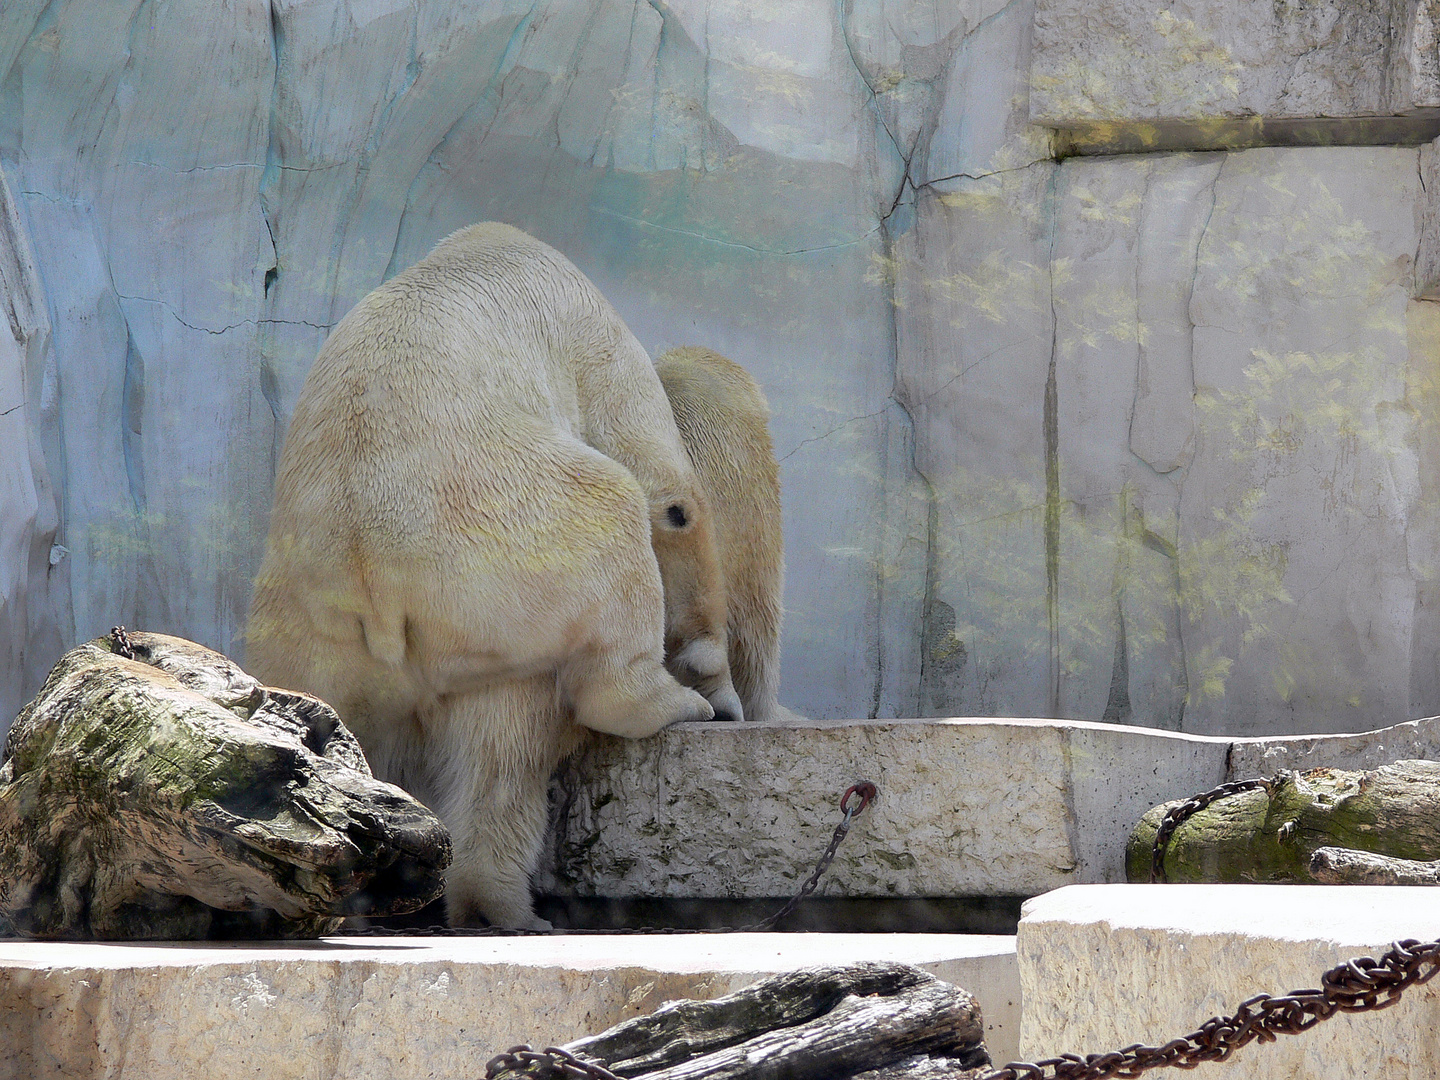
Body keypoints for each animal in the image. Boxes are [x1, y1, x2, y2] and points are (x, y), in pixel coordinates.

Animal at [246, 221, 737, 933]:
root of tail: (376, 576)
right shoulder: (591, 337)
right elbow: (667, 495)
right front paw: (715, 688)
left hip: (318, 632)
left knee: (474, 743)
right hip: (512, 530)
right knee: (612, 516)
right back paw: (660, 704)